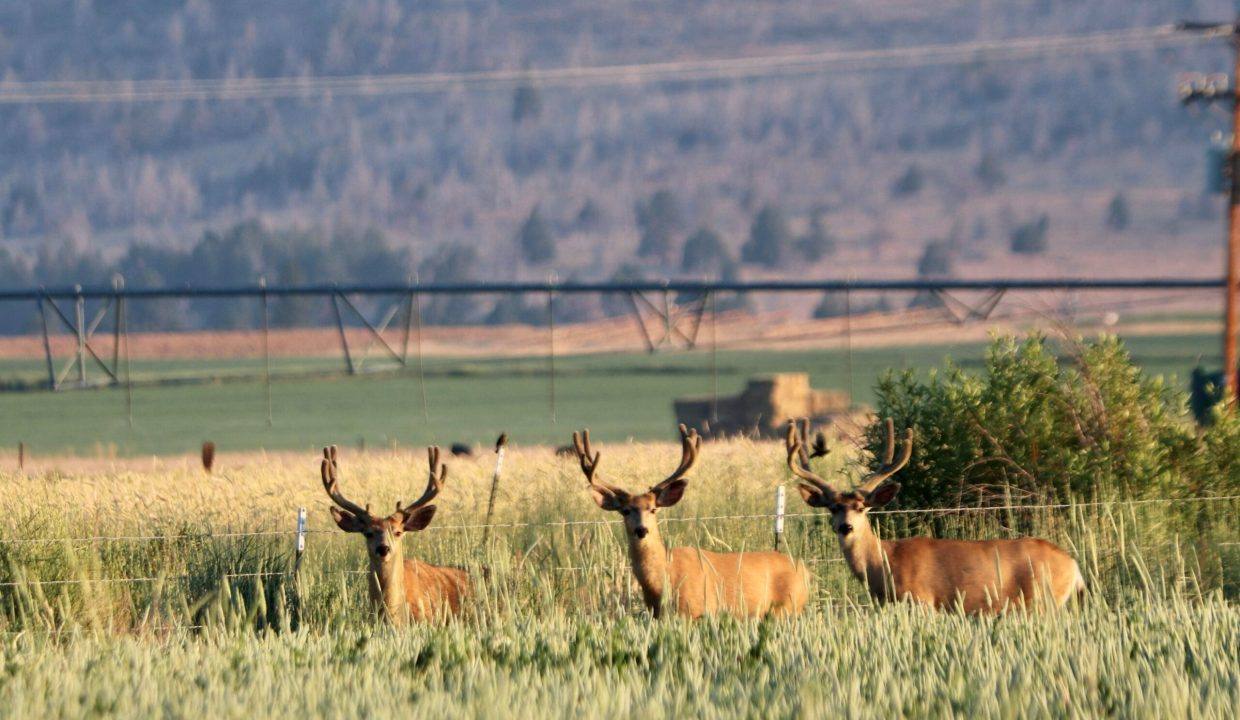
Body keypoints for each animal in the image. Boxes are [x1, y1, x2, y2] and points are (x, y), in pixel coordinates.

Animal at [567, 421, 808, 617]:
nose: (641, 530)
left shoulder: (696, 610)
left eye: (653, 509)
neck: (663, 579)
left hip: (786, 607)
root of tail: (804, 570)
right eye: (625, 510)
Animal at [783, 418, 1086, 614]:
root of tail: (1074, 565)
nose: (845, 527)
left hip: (1043, 601)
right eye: (833, 507)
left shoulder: (921, 601)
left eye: (862, 507)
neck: (885, 564)